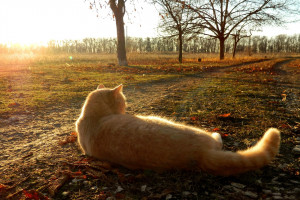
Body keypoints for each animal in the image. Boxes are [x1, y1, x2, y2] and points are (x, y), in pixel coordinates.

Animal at [75, 85, 282, 177]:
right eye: (123, 101)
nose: (126, 108)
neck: (92, 117)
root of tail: (202, 155)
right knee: (218, 140)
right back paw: (217, 135)